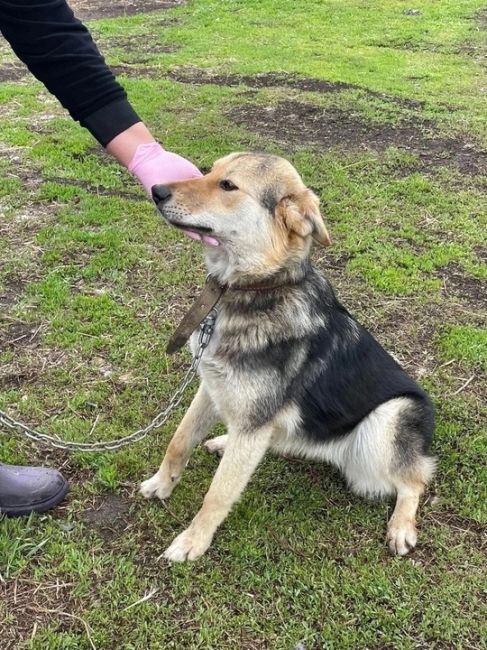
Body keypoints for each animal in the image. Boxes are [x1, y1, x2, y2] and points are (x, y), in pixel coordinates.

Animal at [140, 153, 434, 560]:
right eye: (209, 171)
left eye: (228, 185)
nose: (156, 189)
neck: (257, 288)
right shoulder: (212, 390)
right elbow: (179, 442)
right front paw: (161, 484)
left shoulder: (252, 421)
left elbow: (218, 494)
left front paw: (192, 541)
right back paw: (223, 442)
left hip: (387, 420)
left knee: (416, 479)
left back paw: (401, 526)